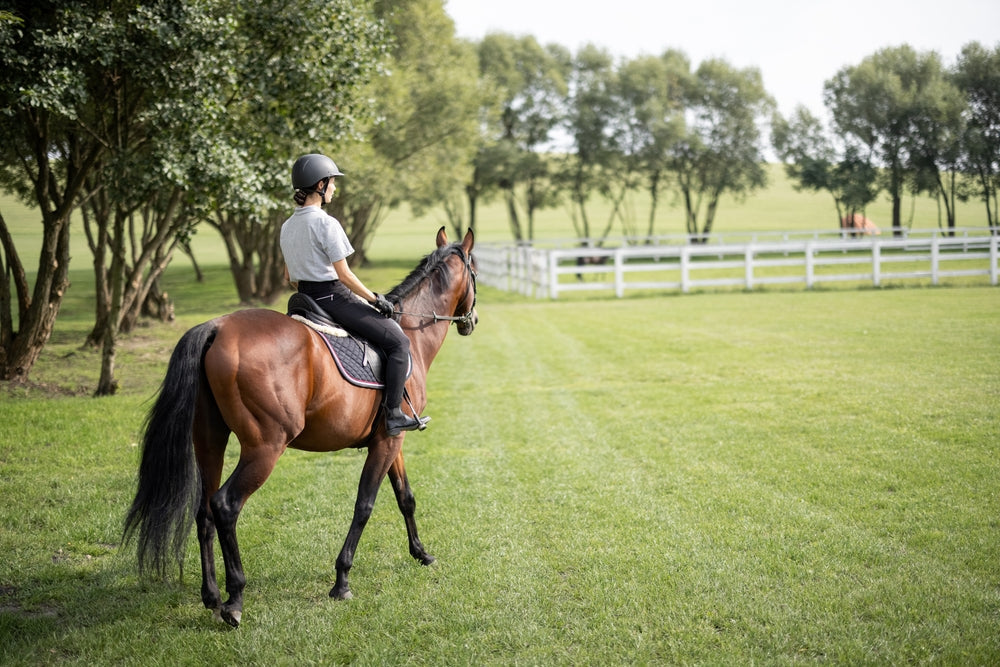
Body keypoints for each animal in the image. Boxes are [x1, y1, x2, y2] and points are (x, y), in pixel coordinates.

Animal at [123, 227, 477, 627]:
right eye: (475, 271)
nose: (471, 321)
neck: (410, 335)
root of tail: (217, 328)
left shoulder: (392, 438)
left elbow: (406, 497)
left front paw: (421, 553)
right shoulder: (388, 441)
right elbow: (365, 505)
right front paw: (341, 580)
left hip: (209, 440)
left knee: (204, 511)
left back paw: (211, 595)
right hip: (265, 448)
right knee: (225, 505)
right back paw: (235, 599)